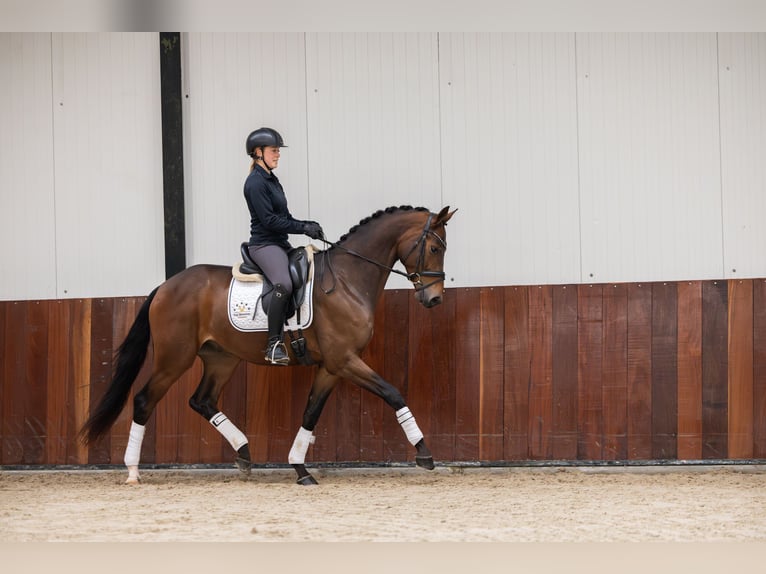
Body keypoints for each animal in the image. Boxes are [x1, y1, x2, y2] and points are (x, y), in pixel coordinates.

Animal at [79, 205, 456, 485]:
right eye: (435, 248)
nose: (435, 299)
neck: (347, 280)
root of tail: (166, 285)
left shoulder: (332, 366)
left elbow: (310, 412)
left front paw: (300, 467)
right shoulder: (344, 360)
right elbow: (393, 393)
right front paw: (424, 454)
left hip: (221, 358)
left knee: (202, 400)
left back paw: (244, 453)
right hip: (175, 358)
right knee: (145, 400)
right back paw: (132, 470)